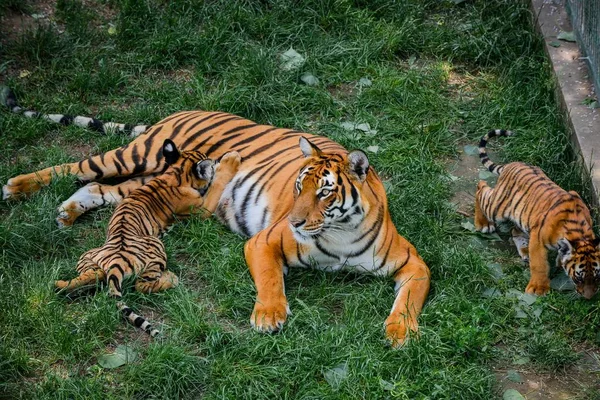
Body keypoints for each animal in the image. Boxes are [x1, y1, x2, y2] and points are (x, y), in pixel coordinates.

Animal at [56, 139, 241, 336]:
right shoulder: (201, 210)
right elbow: (217, 186)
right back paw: (171, 278)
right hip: (156, 247)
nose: (217, 159)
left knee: (95, 274)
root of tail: (116, 262)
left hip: (88, 255)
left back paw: (60, 284)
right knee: (141, 286)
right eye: (211, 163)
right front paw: (231, 160)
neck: (177, 173)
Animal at [476, 130, 596, 298]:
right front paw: (538, 289)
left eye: (597, 276)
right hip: (497, 208)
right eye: (579, 278)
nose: (589, 297)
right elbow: (539, 265)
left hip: (523, 216)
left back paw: (525, 251)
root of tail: (511, 164)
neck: (580, 232)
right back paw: (483, 223)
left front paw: (559, 262)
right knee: (481, 188)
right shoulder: (538, 239)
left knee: (515, 231)